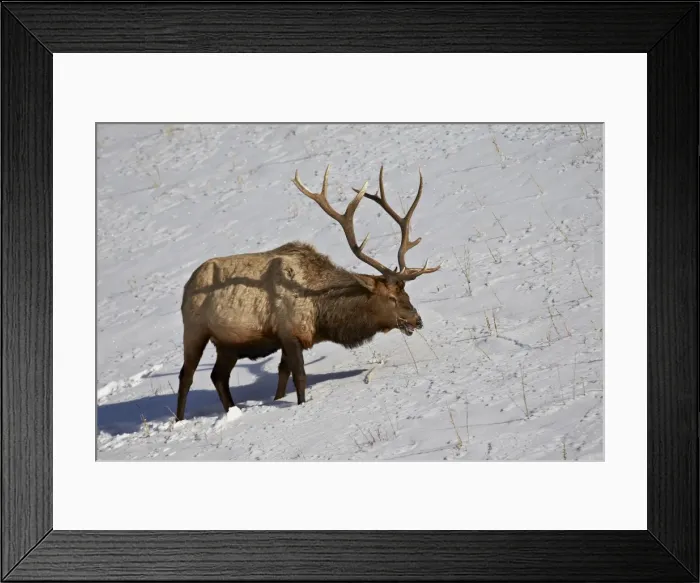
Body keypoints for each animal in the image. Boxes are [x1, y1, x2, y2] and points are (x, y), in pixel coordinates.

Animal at [175, 165, 440, 421]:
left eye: (407, 294)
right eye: (391, 298)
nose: (417, 320)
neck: (321, 313)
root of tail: (187, 285)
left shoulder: (291, 338)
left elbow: (282, 376)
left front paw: (279, 400)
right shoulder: (289, 333)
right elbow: (299, 377)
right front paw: (301, 405)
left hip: (228, 343)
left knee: (218, 376)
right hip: (195, 329)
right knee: (186, 375)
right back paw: (179, 419)